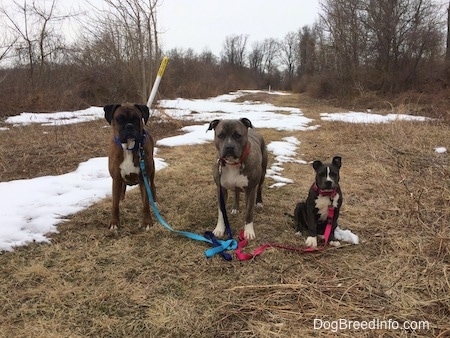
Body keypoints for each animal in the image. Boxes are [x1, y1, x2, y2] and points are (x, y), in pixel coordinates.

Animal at [103, 102, 156, 230]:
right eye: (119, 119)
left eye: (136, 118)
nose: (129, 126)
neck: (128, 147)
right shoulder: (116, 179)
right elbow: (115, 204)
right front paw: (114, 223)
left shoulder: (144, 179)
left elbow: (145, 203)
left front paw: (147, 222)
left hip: (152, 172)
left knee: (152, 187)